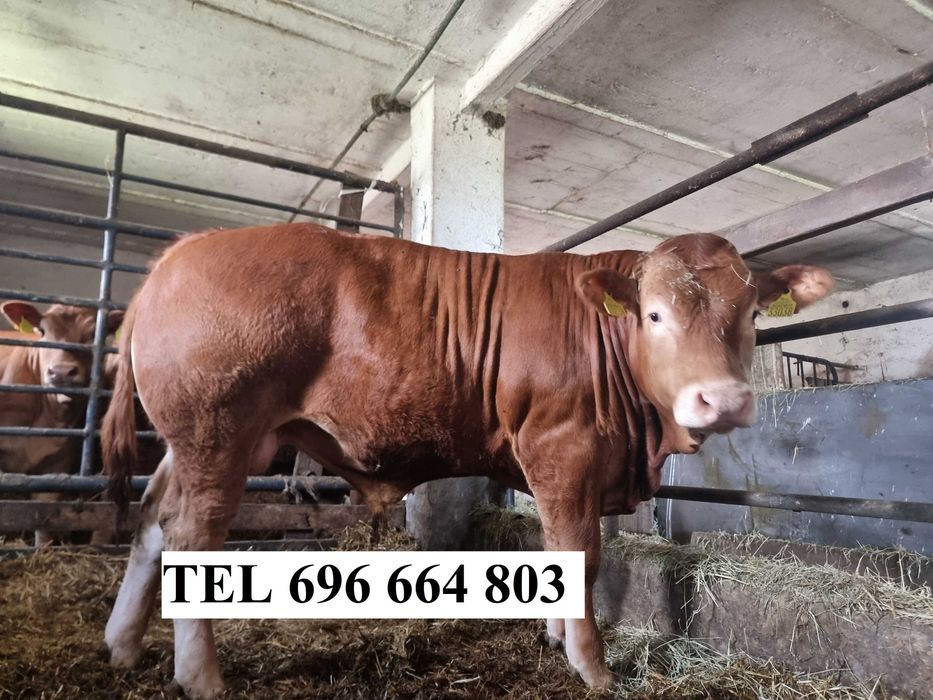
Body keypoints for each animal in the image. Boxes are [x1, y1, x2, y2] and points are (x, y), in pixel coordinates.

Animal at [101, 224, 833, 696]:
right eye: (653, 314)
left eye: (752, 314)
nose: (724, 399)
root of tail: (185, 249)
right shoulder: (562, 449)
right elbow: (581, 556)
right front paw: (591, 667)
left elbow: (553, 549)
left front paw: (552, 638)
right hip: (216, 431)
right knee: (191, 536)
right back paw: (201, 677)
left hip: (192, 444)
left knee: (152, 524)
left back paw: (121, 645)